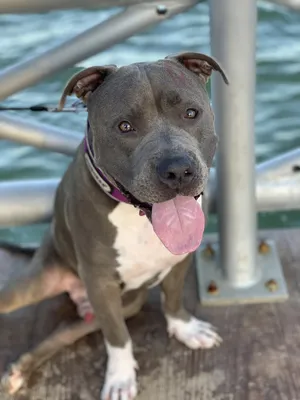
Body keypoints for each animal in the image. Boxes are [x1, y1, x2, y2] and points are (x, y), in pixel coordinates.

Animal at [0, 51, 227, 398]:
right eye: (124, 126)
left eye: (191, 113)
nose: (177, 169)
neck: (137, 215)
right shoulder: (101, 283)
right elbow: (118, 337)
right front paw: (120, 378)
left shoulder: (178, 260)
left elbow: (173, 299)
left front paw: (185, 328)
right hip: (36, 286)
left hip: (126, 303)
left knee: (62, 333)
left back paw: (18, 372)